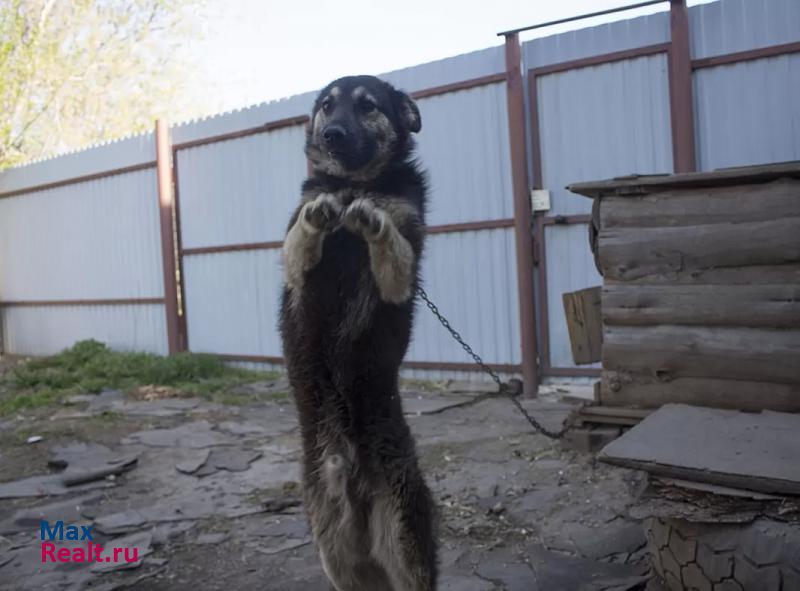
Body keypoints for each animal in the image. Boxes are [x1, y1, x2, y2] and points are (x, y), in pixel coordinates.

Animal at [280, 75, 438, 591]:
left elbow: (390, 238)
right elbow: (302, 233)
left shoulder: (398, 278)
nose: (331, 135)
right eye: (327, 106)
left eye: (368, 106)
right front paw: (320, 212)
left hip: (406, 539)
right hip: (336, 552)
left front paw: (371, 217)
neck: (355, 184)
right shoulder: (297, 271)